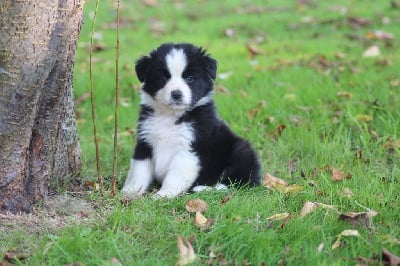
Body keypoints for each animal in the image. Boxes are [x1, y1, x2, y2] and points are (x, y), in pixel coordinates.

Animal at [120, 42, 260, 198]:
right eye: (164, 77)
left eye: (190, 78)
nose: (176, 94)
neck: (171, 116)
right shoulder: (145, 142)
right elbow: (138, 171)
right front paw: (129, 193)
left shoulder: (190, 148)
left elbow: (175, 176)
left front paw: (163, 195)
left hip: (241, 151)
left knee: (236, 182)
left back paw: (204, 188)